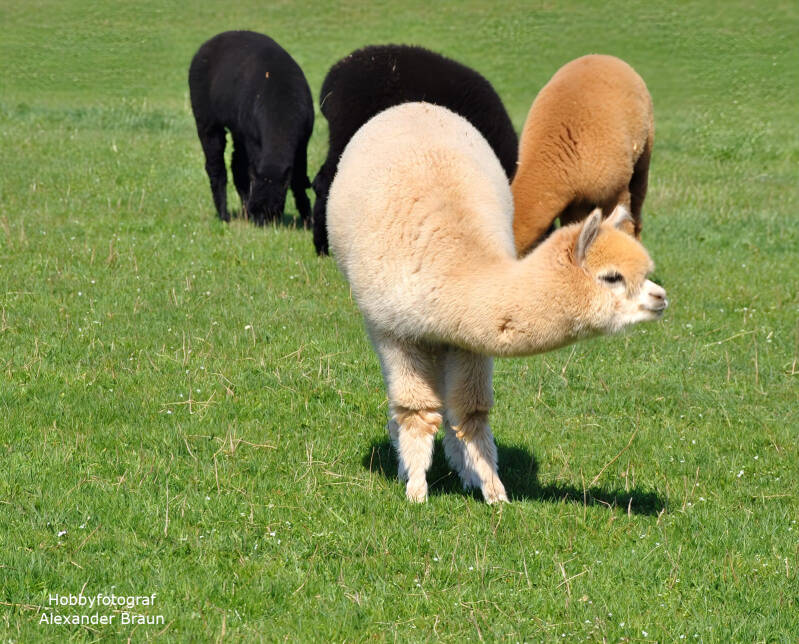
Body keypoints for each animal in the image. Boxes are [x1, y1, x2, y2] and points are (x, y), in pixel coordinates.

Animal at [188, 30, 314, 226]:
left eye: (277, 205)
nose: (261, 220)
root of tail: (208, 44)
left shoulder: (302, 141)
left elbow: (299, 179)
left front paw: (308, 219)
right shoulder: (253, 140)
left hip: (238, 129)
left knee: (236, 165)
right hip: (206, 119)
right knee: (216, 166)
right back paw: (224, 215)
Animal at [328, 102, 667, 503]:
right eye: (612, 277)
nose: (660, 297)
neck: (453, 267)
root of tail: (413, 105)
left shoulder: (467, 340)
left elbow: (471, 414)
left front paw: (492, 492)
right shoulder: (395, 331)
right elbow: (417, 411)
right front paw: (416, 489)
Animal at [512, 54, 654, 256]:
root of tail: (604, 56)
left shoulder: (616, 191)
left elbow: (624, 228)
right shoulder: (571, 203)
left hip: (643, 156)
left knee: (637, 213)